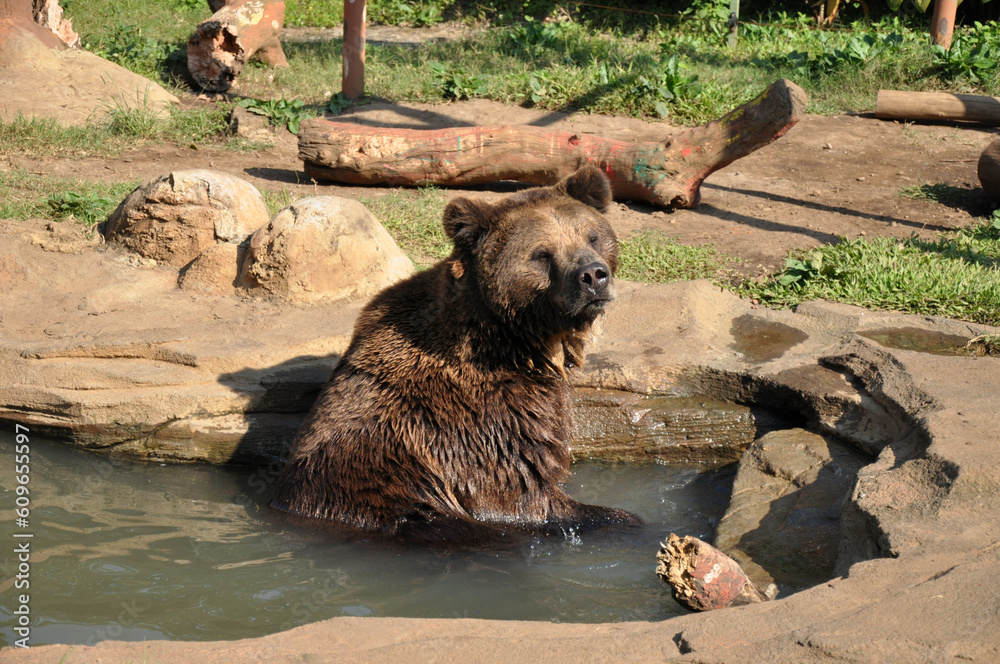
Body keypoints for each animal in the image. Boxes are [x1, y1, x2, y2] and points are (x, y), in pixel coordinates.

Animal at [270, 165, 641, 538]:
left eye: (591, 236)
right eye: (542, 253)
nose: (592, 275)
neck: (512, 340)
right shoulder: (482, 423)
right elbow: (524, 495)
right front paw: (626, 519)